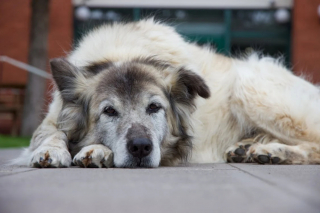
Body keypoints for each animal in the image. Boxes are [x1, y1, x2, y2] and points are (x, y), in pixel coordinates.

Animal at [13, 18, 320, 168]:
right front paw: (51, 151)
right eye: (109, 111)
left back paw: (272, 151)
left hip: (248, 85)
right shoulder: (54, 117)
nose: (140, 147)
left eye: (154, 108)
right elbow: (50, 133)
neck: (124, 54)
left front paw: (97, 150)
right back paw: (247, 149)